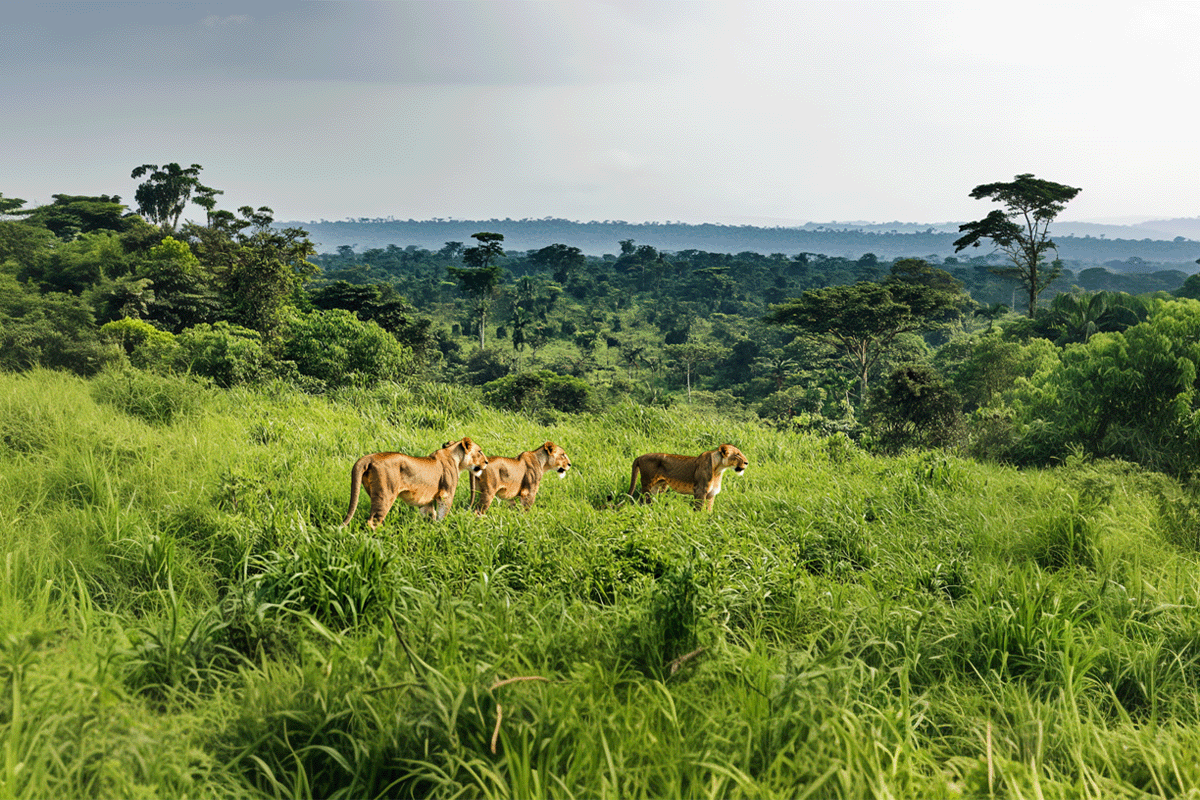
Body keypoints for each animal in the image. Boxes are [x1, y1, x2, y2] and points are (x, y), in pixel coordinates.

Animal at [338, 434, 487, 527]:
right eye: (480, 451)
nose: (486, 462)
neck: (454, 457)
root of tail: (370, 457)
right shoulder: (446, 494)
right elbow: (442, 514)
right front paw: (441, 528)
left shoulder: (427, 499)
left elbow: (429, 514)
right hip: (386, 495)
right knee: (373, 521)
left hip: (373, 492)